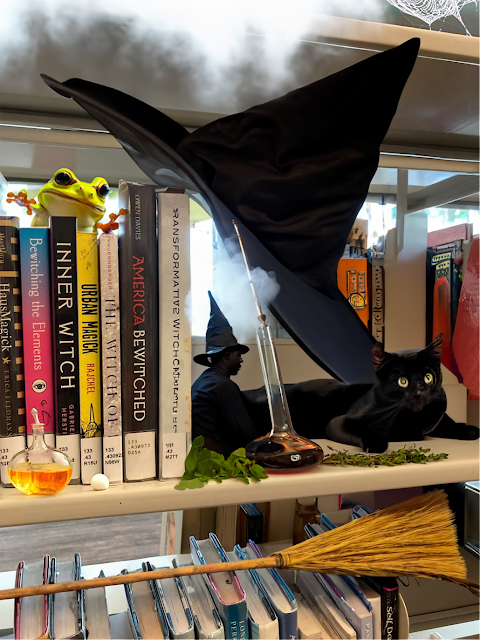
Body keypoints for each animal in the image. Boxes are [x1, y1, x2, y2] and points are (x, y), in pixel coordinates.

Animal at [242, 333, 480, 453]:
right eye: (402, 381)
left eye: (428, 377)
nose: (421, 390)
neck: (412, 421)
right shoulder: (339, 422)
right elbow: (363, 430)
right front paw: (377, 443)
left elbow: (447, 423)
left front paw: (468, 429)